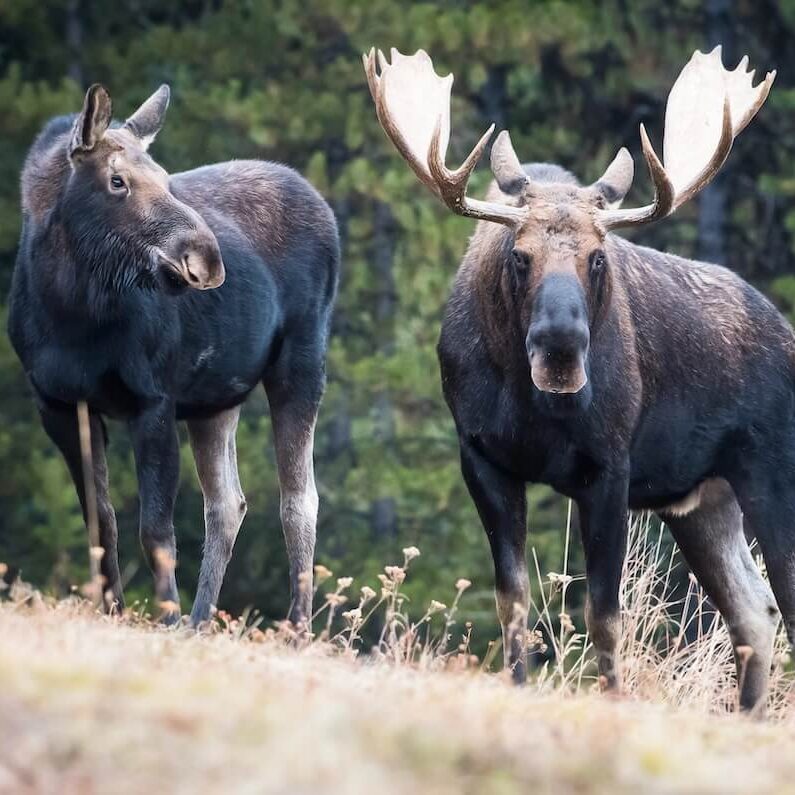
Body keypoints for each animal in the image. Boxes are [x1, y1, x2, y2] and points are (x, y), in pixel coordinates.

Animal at [9, 83, 339, 629]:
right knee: (228, 502)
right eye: (117, 180)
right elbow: (101, 523)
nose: (205, 258)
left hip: (302, 360)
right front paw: (114, 611)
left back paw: (296, 628)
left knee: (299, 498)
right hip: (215, 399)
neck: (69, 310)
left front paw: (165, 618)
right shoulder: (57, 404)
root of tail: (323, 206)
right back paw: (202, 621)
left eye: (167, 179)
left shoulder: (153, 400)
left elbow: (156, 532)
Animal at [364, 46, 786, 712]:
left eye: (598, 256)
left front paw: (612, 699)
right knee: (754, 609)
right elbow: (512, 601)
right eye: (519, 254)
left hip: (769, 471)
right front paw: (517, 683)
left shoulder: (611, 468)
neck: (536, 412)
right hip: (703, 500)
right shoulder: (482, 457)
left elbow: (604, 616)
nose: (560, 348)